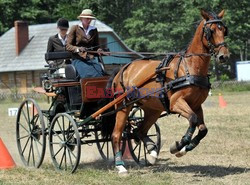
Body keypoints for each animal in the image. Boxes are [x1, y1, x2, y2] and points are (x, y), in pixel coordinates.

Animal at [105, 9, 229, 173]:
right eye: (211, 31)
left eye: (224, 30)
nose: (224, 56)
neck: (189, 67)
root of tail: (122, 69)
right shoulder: (176, 103)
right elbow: (193, 119)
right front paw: (179, 145)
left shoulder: (196, 105)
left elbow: (203, 129)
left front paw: (185, 148)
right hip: (123, 106)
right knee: (116, 134)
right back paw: (120, 166)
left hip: (152, 110)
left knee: (139, 131)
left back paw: (151, 152)